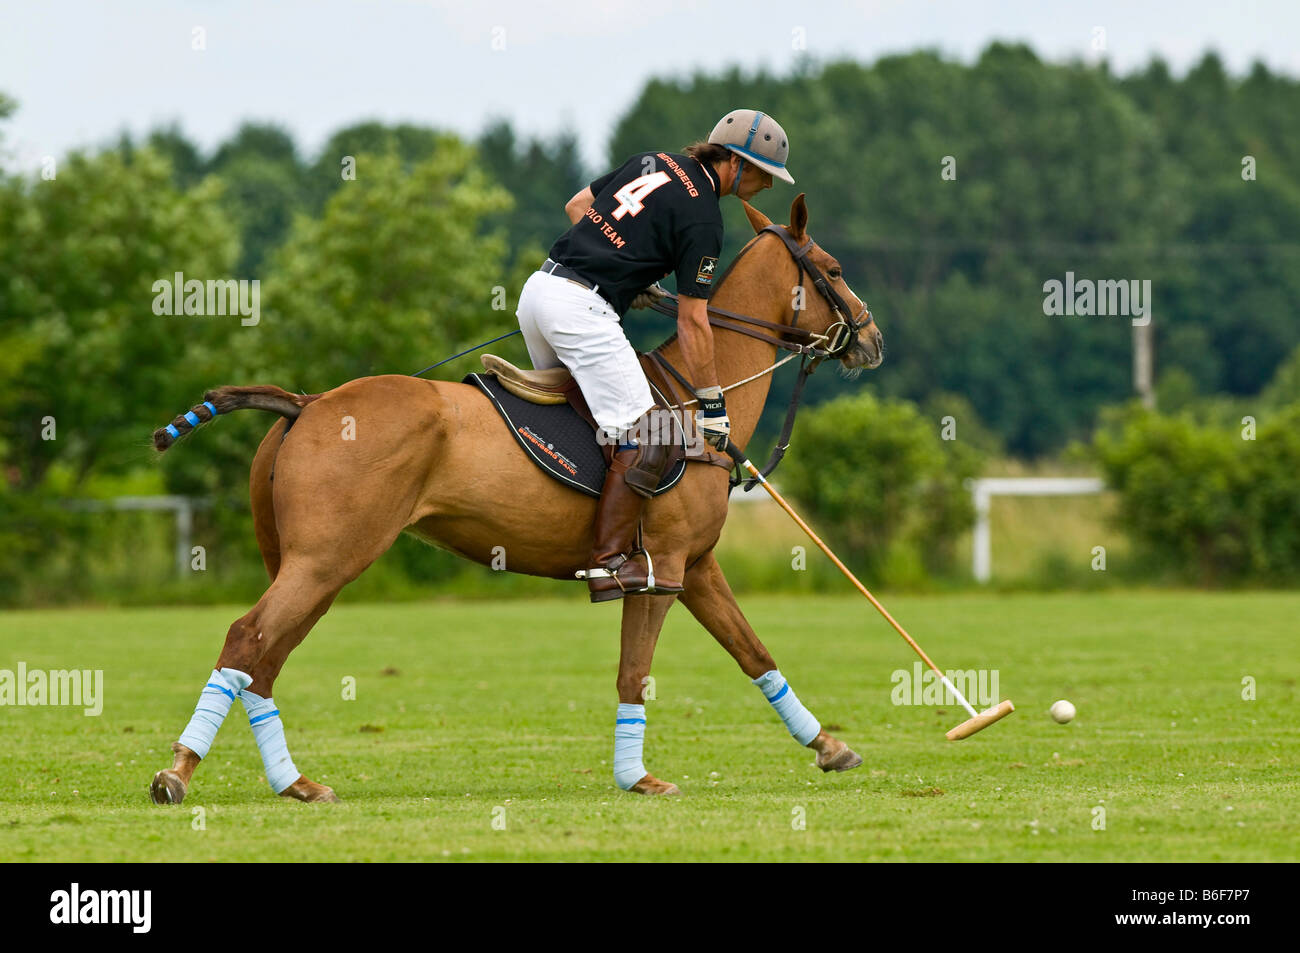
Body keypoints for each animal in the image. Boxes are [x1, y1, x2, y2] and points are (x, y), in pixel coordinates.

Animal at [148, 193, 884, 804]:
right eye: (835, 267)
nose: (873, 338)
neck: (696, 395)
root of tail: (307, 402)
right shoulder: (663, 568)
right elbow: (635, 673)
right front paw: (638, 777)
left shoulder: (696, 566)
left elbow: (754, 651)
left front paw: (831, 745)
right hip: (327, 557)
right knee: (248, 638)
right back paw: (178, 772)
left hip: (311, 563)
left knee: (265, 661)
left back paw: (295, 784)